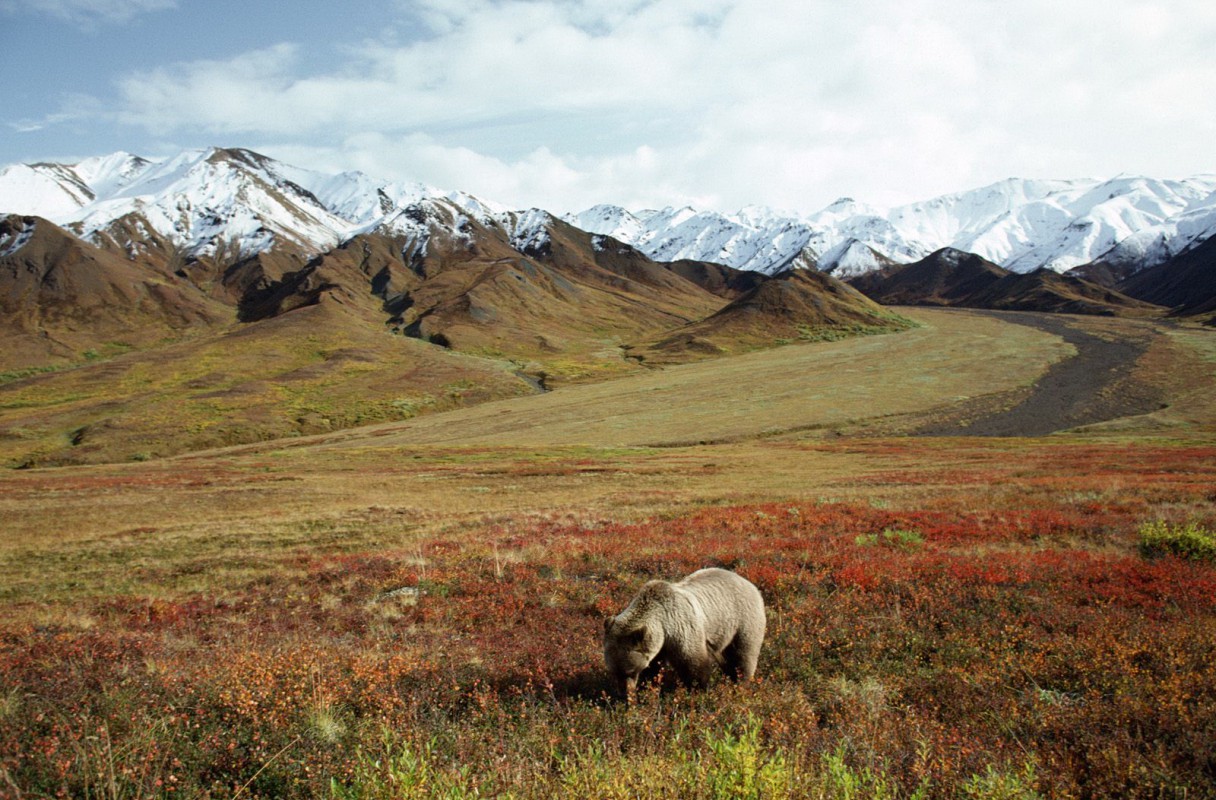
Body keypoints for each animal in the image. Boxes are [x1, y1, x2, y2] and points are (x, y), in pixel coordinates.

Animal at [603, 564, 763, 695]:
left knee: (743, 654)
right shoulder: (658, 644)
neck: (663, 626)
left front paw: (698, 690)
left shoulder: (682, 628)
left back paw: (741, 682)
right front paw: (647, 688)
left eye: (630, 671)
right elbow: (653, 668)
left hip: (743, 620)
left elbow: (693, 664)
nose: (624, 693)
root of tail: (749, 583)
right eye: (613, 671)